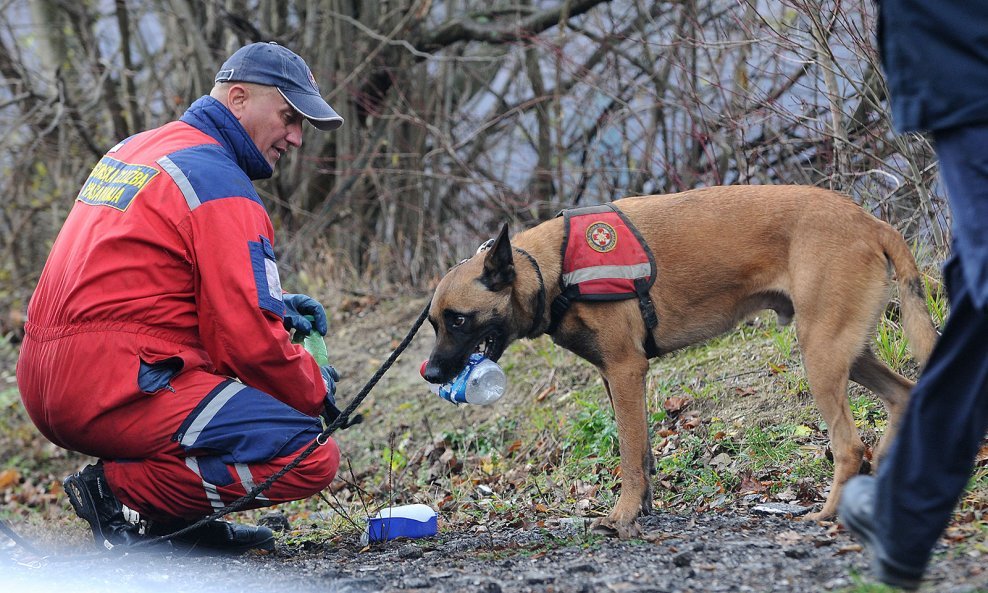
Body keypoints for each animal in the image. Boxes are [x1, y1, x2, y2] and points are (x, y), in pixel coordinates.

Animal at [420, 185, 936, 536]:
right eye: (433, 323)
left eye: (459, 320)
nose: (430, 373)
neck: (552, 268)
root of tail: (870, 222)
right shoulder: (615, 379)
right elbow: (644, 452)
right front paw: (642, 510)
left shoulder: (626, 371)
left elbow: (629, 455)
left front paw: (622, 517)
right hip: (847, 351)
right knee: (903, 395)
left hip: (821, 354)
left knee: (850, 446)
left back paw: (828, 514)